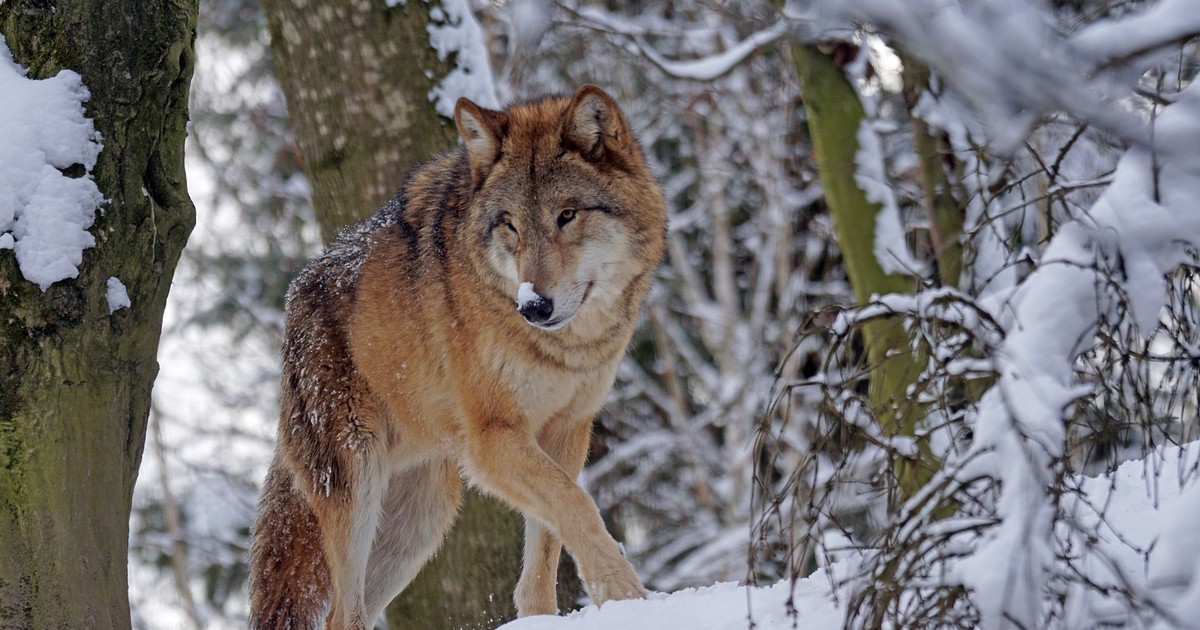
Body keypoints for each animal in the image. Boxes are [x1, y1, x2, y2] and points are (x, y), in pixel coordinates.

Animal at [248, 87, 672, 628]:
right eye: (510, 225)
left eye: (567, 215)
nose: (534, 306)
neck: (566, 350)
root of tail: (295, 295)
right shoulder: (493, 439)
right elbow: (576, 506)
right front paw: (627, 597)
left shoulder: (566, 431)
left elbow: (548, 544)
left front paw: (545, 617)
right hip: (359, 483)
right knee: (343, 615)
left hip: (419, 524)